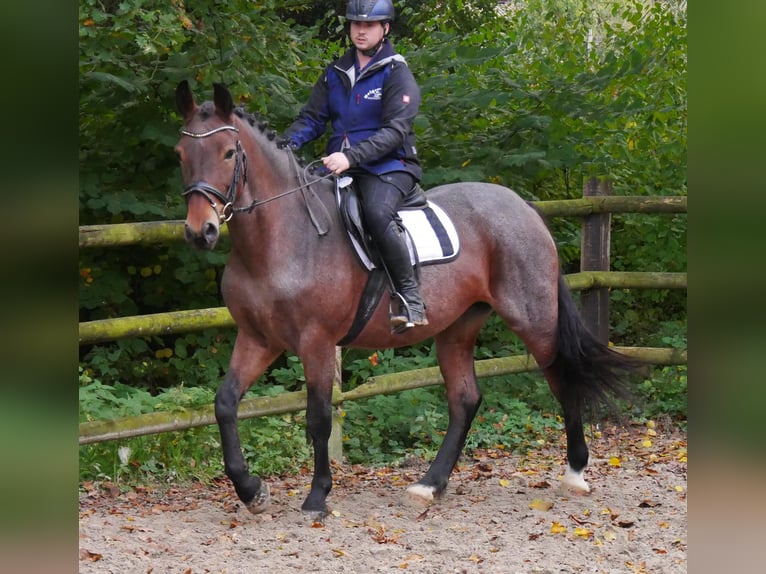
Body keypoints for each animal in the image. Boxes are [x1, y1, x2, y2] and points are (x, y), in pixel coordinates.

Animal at [174, 81, 636, 520]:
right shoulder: (258, 339)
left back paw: (575, 473)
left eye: (229, 152)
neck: (285, 239)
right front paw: (251, 491)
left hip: (534, 319)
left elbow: (319, 418)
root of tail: (524, 207)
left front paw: (317, 496)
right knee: (465, 400)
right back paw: (430, 484)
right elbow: (225, 404)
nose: (201, 232)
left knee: (561, 378)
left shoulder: (316, 343)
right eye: (181, 153)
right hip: (457, 328)